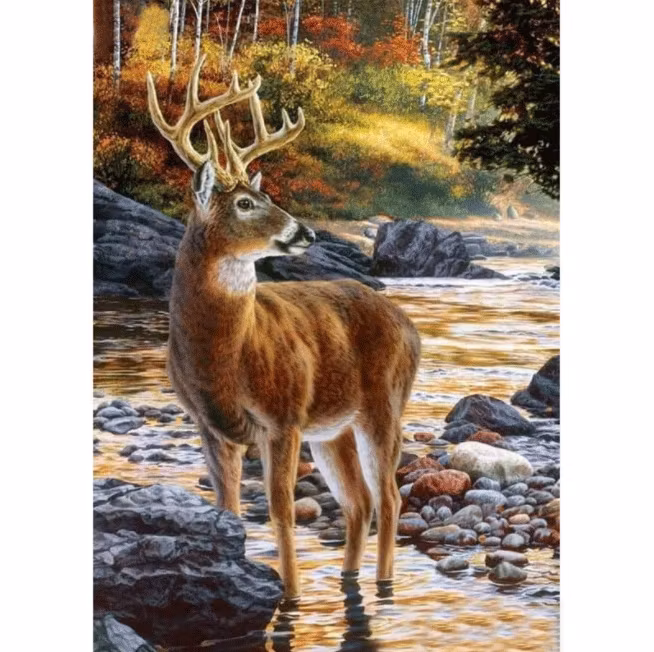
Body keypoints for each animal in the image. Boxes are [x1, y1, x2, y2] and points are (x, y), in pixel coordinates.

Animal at [146, 55, 421, 599]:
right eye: (245, 203)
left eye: (265, 193)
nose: (306, 232)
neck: (227, 356)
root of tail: (410, 328)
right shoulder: (211, 426)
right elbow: (228, 510)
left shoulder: (284, 417)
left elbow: (280, 512)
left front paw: (290, 598)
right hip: (333, 428)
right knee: (359, 502)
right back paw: (349, 579)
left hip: (384, 406)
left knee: (390, 498)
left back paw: (383, 587)